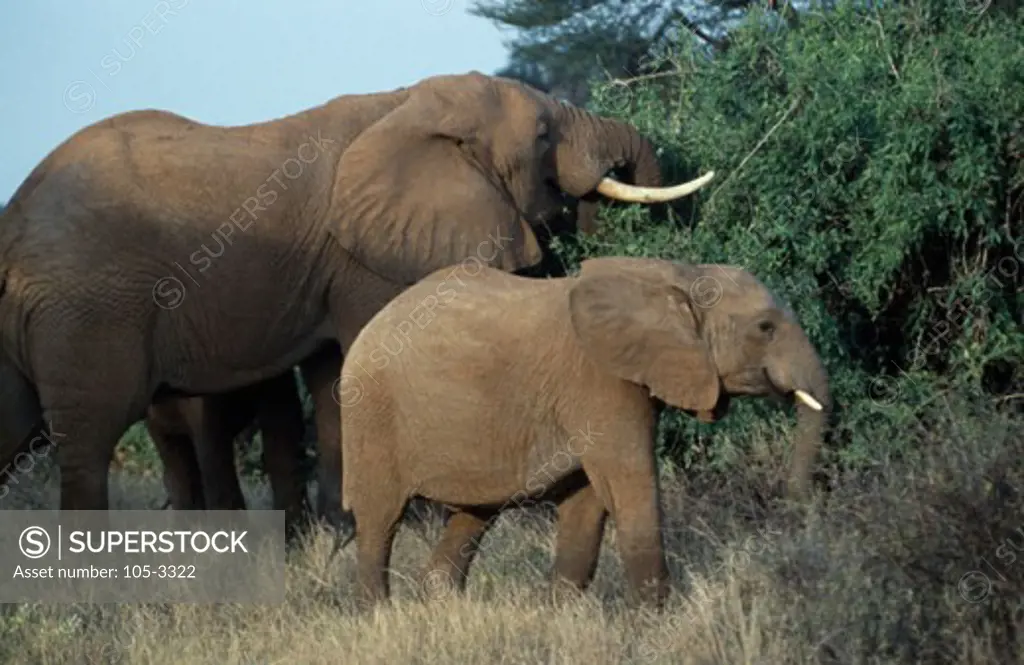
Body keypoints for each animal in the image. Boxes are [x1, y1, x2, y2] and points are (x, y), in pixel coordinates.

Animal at [0, 72, 712, 520]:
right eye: (542, 135)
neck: (404, 103)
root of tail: (13, 221)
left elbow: (330, 376)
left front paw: (341, 533)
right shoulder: (367, 258)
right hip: (88, 312)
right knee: (89, 438)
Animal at [339, 254, 827, 606]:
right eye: (765, 328)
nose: (794, 507)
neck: (678, 275)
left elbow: (587, 502)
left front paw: (561, 615)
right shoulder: (601, 382)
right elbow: (628, 484)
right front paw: (651, 621)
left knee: (473, 515)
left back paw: (441, 605)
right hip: (372, 417)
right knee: (380, 519)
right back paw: (378, 615)